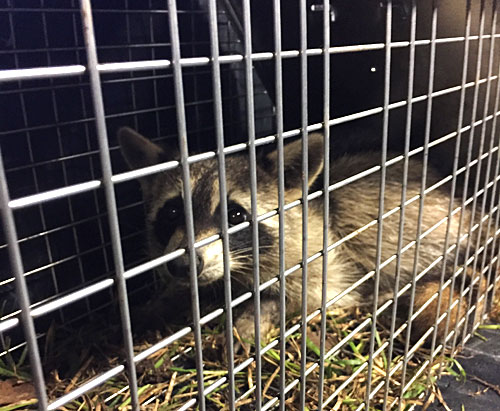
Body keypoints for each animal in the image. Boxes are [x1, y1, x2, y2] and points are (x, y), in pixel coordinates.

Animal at [118, 128, 484, 344]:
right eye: (173, 213)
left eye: (236, 216)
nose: (184, 265)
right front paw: (158, 303)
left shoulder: (321, 254)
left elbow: (303, 294)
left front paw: (257, 312)